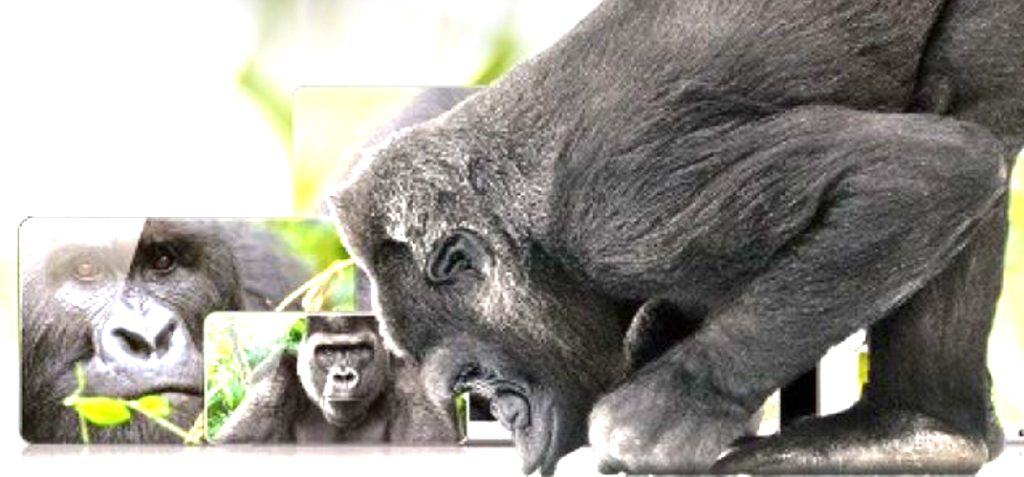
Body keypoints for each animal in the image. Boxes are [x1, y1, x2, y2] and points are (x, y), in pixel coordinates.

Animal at [330, 0, 1024, 474]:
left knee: (963, 107)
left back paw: (918, 427)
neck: (531, 229)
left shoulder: (619, 206)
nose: (506, 419)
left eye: (477, 378)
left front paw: (660, 419)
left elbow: (921, 174)